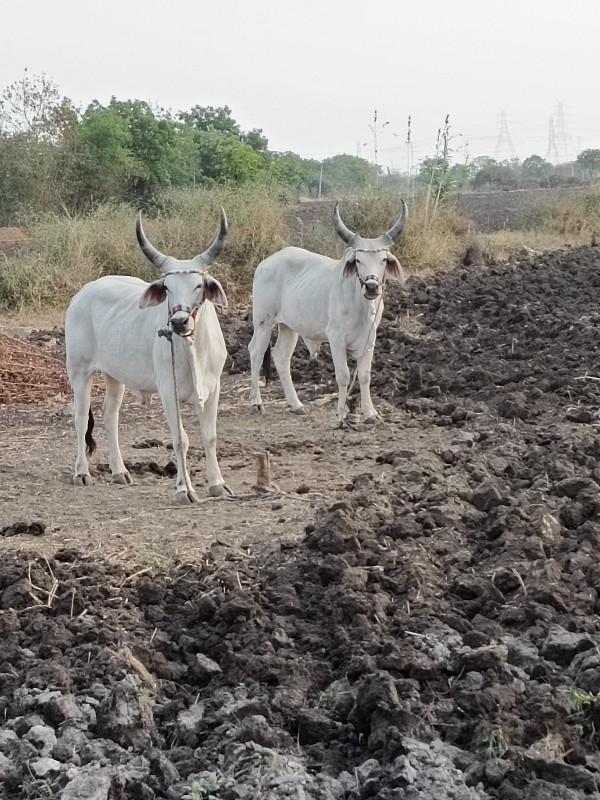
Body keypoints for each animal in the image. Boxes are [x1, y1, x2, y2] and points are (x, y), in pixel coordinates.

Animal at [65, 209, 232, 504]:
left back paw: (120, 471)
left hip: (114, 376)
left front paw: (217, 484)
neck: (193, 350)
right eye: (166, 287)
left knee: (110, 415)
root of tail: (83, 293)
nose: (178, 322)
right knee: (81, 417)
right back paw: (82, 473)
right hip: (79, 371)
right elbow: (180, 439)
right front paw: (184, 489)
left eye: (198, 285)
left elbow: (209, 436)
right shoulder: (168, 391)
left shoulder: (213, 388)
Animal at [248, 200, 408, 424]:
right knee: (256, 351)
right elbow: (344, 376)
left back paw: (296, 405)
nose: (371, 287)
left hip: (289, 327)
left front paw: (370, 413)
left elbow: (365, 375)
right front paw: (342, 413)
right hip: (263, 322)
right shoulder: (336, 338)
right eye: (358, 260)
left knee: (281, 357)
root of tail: (265, 263)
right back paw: (257, 402)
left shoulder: (369, 339)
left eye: (383, 259)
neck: (361, 305)